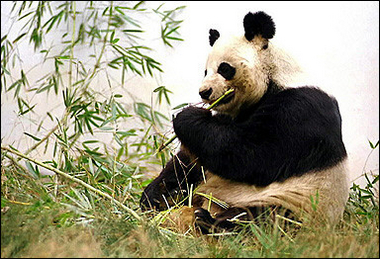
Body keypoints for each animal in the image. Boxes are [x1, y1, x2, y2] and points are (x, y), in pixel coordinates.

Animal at [141, 10, 348, 235]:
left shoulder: (299, 110)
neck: (275, 75)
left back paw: (208, 221)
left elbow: (252, 155)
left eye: (224, 68)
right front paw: (155, 194)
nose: (204, 92)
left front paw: (187, 116)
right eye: (205, 71)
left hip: (297, 202)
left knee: (263, 220)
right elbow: (194, 158)